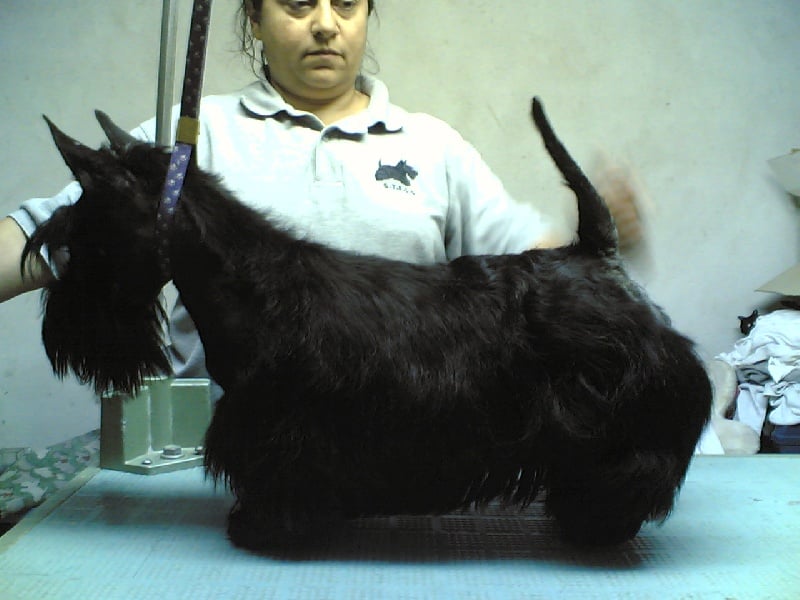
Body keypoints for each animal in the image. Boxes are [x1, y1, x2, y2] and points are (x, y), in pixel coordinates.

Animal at [24, 98, 711, 550]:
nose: (60, 339)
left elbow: (281, 483)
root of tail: (595, 254)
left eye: (79, 239)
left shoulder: (287, 434)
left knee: (634, 468)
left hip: (623, 415)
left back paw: (596, 522)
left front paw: (264, 527)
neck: (248, 283)